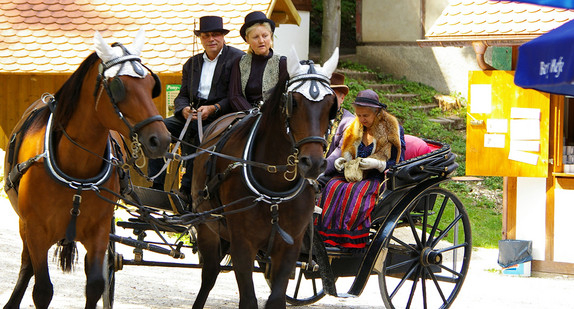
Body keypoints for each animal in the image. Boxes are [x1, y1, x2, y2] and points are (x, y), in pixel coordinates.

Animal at [2, 29, 171, 308]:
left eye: (151, 85)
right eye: (119, 87)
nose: (162, 140)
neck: (76, 172)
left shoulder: (100, 231)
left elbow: (95, 285)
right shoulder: (35, 229)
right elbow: (42, 290)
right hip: (25, 226)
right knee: (27, 267)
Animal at [191, 47, 340, 306]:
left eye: (331, 104)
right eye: (294, 102)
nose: (313, 163)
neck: (275, 188)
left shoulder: (289, 248)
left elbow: (276, 299)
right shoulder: (242, 245)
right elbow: (248, 300)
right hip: (207, 226)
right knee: (209, 275)